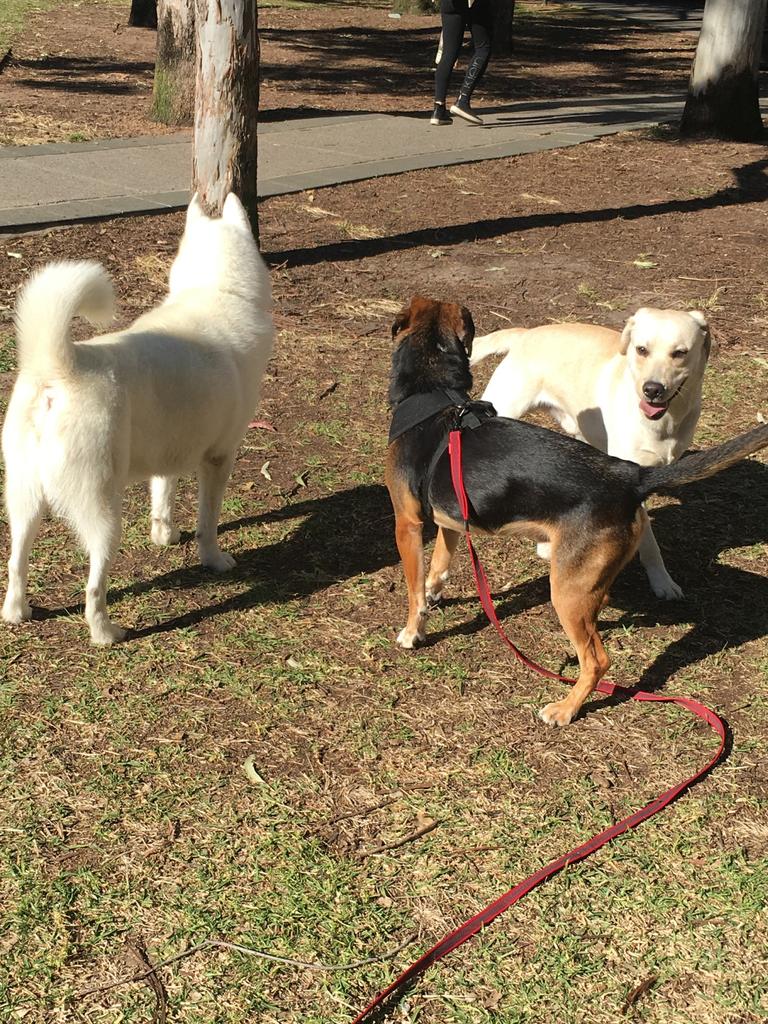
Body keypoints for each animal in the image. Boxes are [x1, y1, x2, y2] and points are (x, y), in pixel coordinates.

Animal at [1, 192, 274, 638]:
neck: (215, 289)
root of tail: (61, 367)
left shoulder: (171, 451)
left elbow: (163, 495)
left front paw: (165, 534)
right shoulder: (219, 459)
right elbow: (209, 522)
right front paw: (213, 558)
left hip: (24, 501)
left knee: (15, 562)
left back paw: (16, 611)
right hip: (103, 512)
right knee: (94, 586)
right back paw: (105, 633)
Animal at [473, 309, 712, 598]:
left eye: (680, 353)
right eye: (641, 350)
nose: (652, 389)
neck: (663, 423)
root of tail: (526, 333)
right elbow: (649, 542)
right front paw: (662, 582)